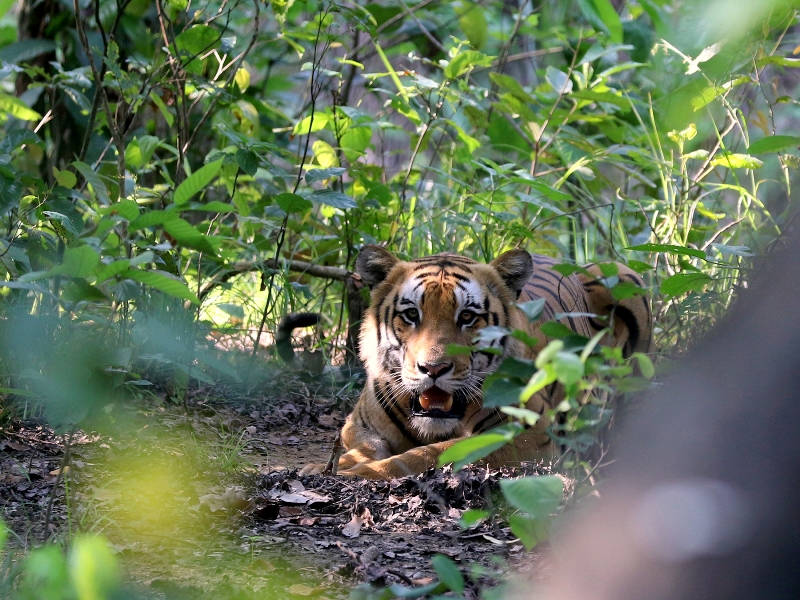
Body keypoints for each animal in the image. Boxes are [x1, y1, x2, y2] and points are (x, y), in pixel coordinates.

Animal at [300, 244, 648, 478]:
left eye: (467, 317)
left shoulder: (526, 434)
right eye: (411, 314)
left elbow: (426, 455)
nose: (434, 368)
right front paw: (323, 467)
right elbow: (366, 446)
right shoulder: (357, 424)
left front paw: (357, 473)